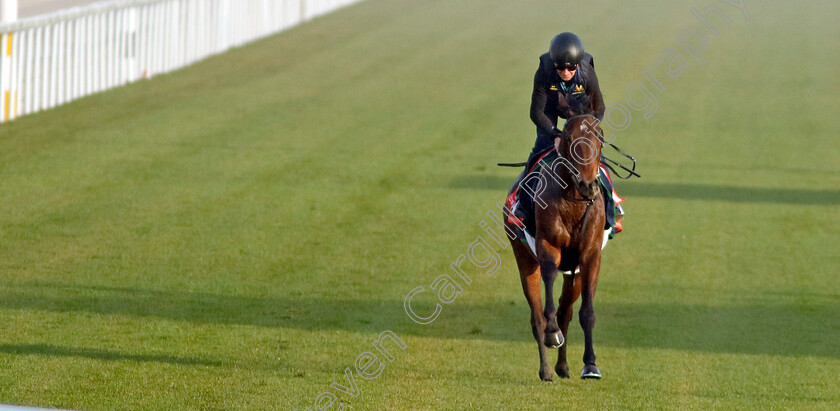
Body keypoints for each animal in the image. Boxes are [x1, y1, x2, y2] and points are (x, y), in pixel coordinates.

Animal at [502, 114, 608, 382]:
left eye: (599, 137)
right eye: (569, 138)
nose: (588, 184)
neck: (573, 199)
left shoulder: (590, 255)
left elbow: (585, 312)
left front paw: (590, 364)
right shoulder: (547, 246)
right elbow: (548, 282)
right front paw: (552, 332)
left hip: (573, 272)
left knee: (566, 312)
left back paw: (562, 366)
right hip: (523, 257)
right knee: (536, 316)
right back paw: (546, 369)